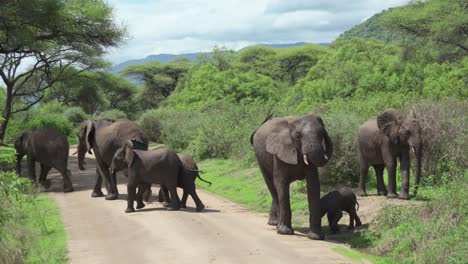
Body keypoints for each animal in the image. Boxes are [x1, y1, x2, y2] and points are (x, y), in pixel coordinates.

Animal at [252, 112, 332, 240]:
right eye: (298, 135)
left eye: (322, 134)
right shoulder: (279, 151)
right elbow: (281, 183)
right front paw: (284, 232)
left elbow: (313, 185)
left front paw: (316, 237)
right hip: (260, 158)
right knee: (272, 186)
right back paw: (276, 225)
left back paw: (274, 223)